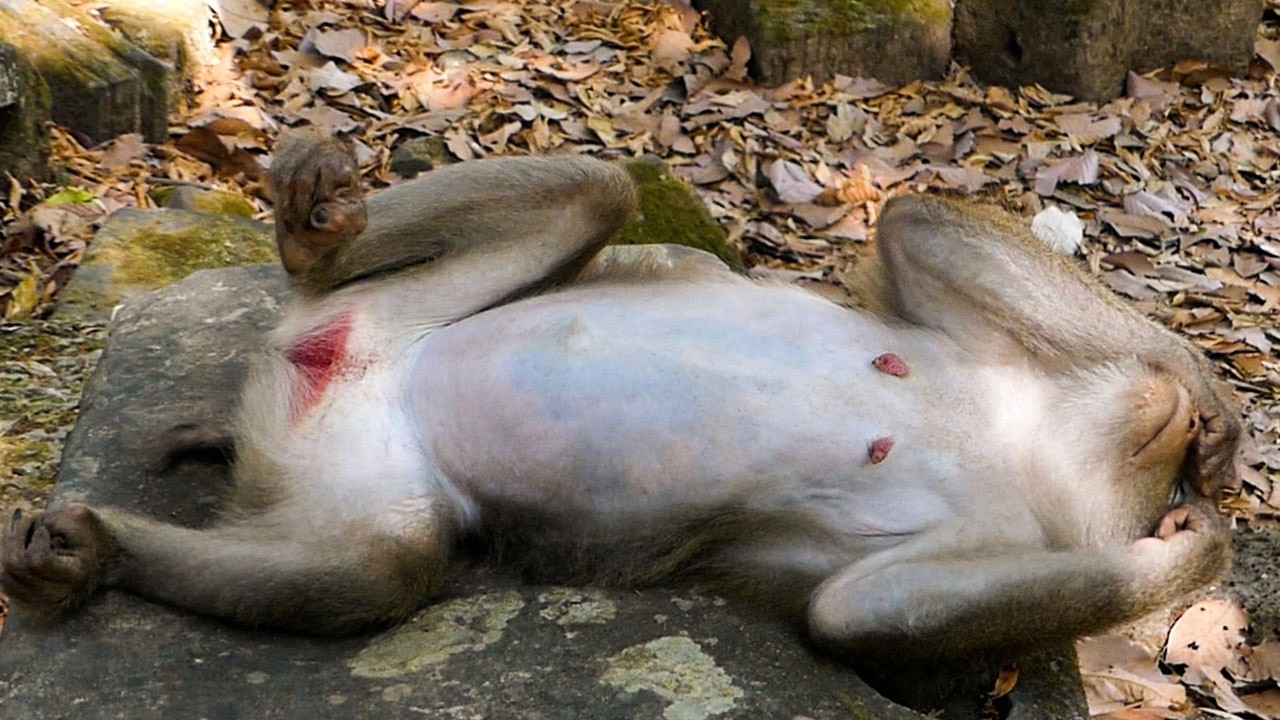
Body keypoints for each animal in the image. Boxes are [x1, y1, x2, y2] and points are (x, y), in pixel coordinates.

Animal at [1, 130, 1241, 667]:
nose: (1160, 423)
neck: (1029, 441)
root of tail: (307, 364)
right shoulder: (1000, 388)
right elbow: (909, 228)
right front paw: (1208, 430)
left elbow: (859, 616)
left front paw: (1196, 542)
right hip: (392, 331)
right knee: (604, 189)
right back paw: (316, 240)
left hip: (352, 448)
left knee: (374, 565)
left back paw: (100, 546)